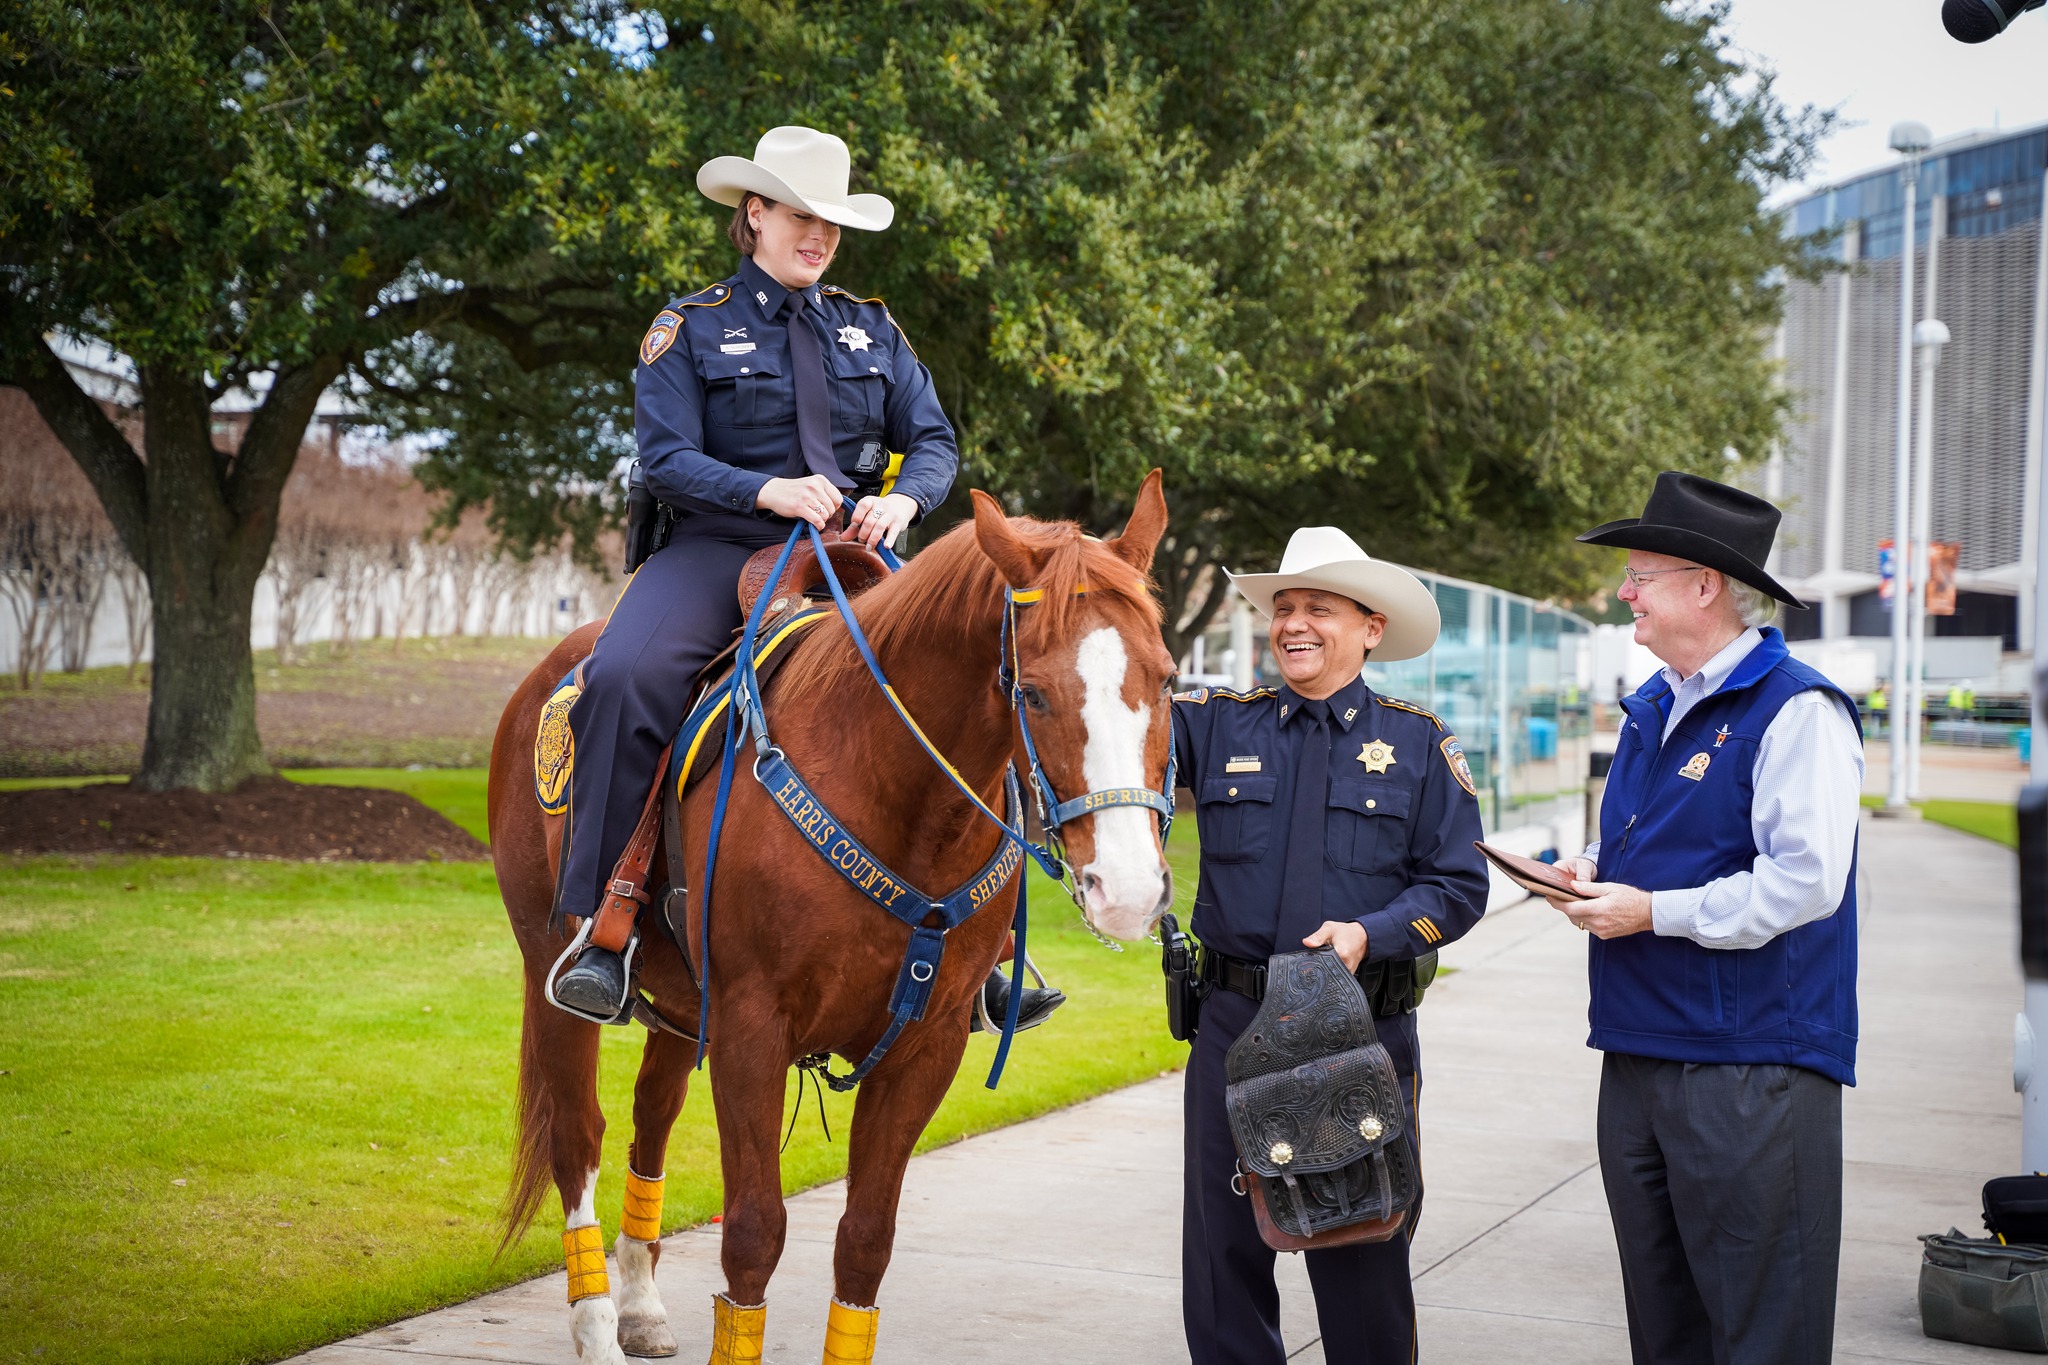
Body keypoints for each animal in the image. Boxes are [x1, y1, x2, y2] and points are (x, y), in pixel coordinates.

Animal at [485, 472, 1179, 1365]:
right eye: (1032, 692)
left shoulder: (927, 1045)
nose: (1128, 889)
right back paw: (598, 1325)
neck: (897, 796)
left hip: (682, 1007)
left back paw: (638, 1302)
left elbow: (866, 1239)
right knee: (580, 1135)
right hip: (553, 972)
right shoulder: (752, 1030)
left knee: (651, 1117)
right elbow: (753, 1233)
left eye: (1167, 679)